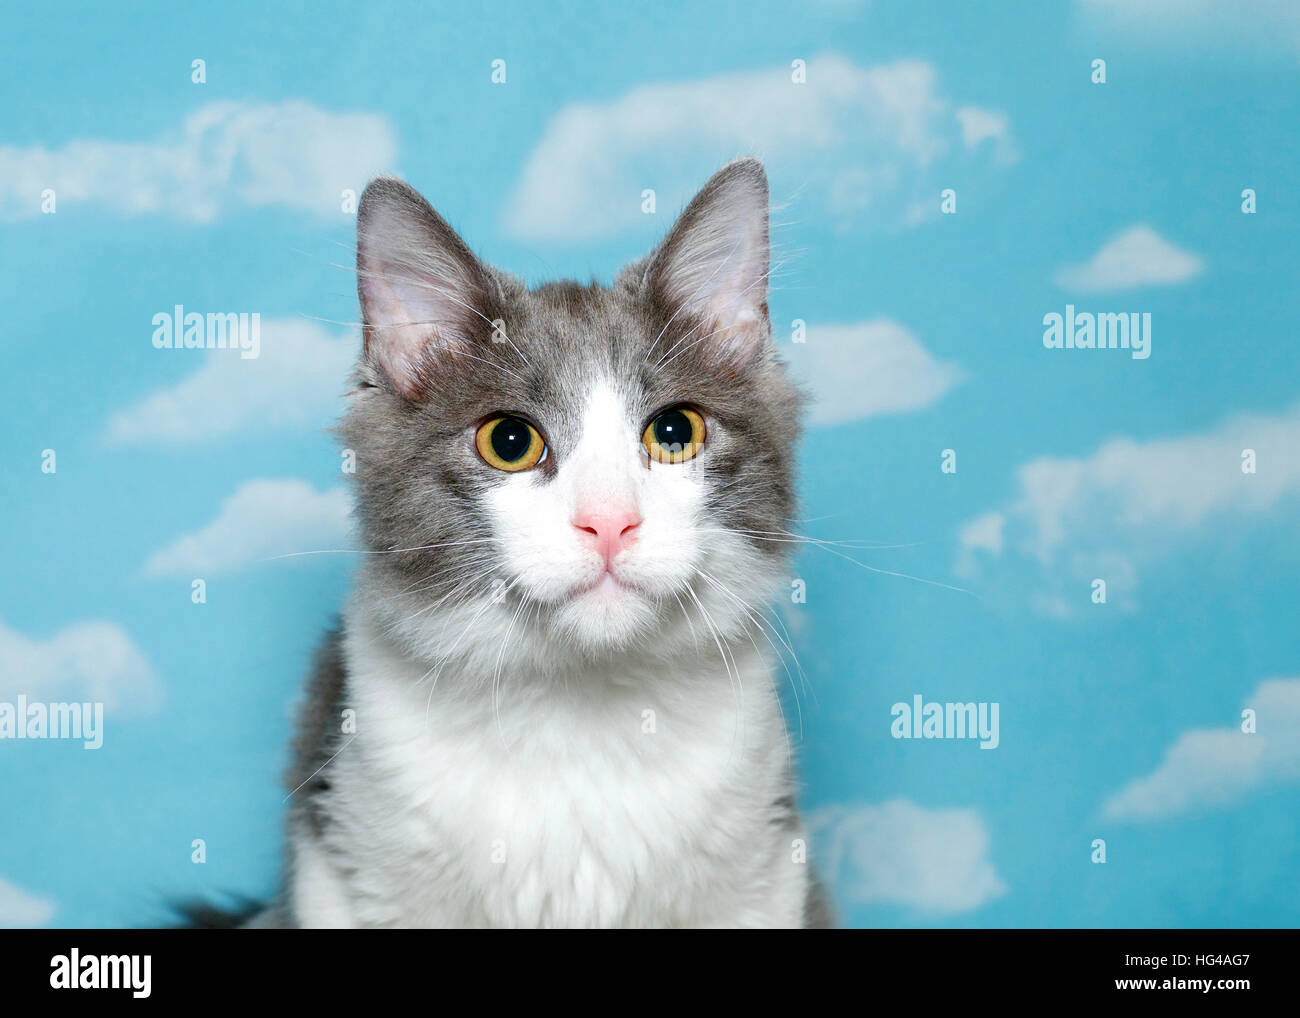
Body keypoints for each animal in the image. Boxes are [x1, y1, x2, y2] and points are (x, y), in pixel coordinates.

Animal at [244, 159, 832, 930]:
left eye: (675, 432)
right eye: (510, 441)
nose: (609, 522)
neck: (579, 706)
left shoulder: (765, 873)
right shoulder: (342, 862)